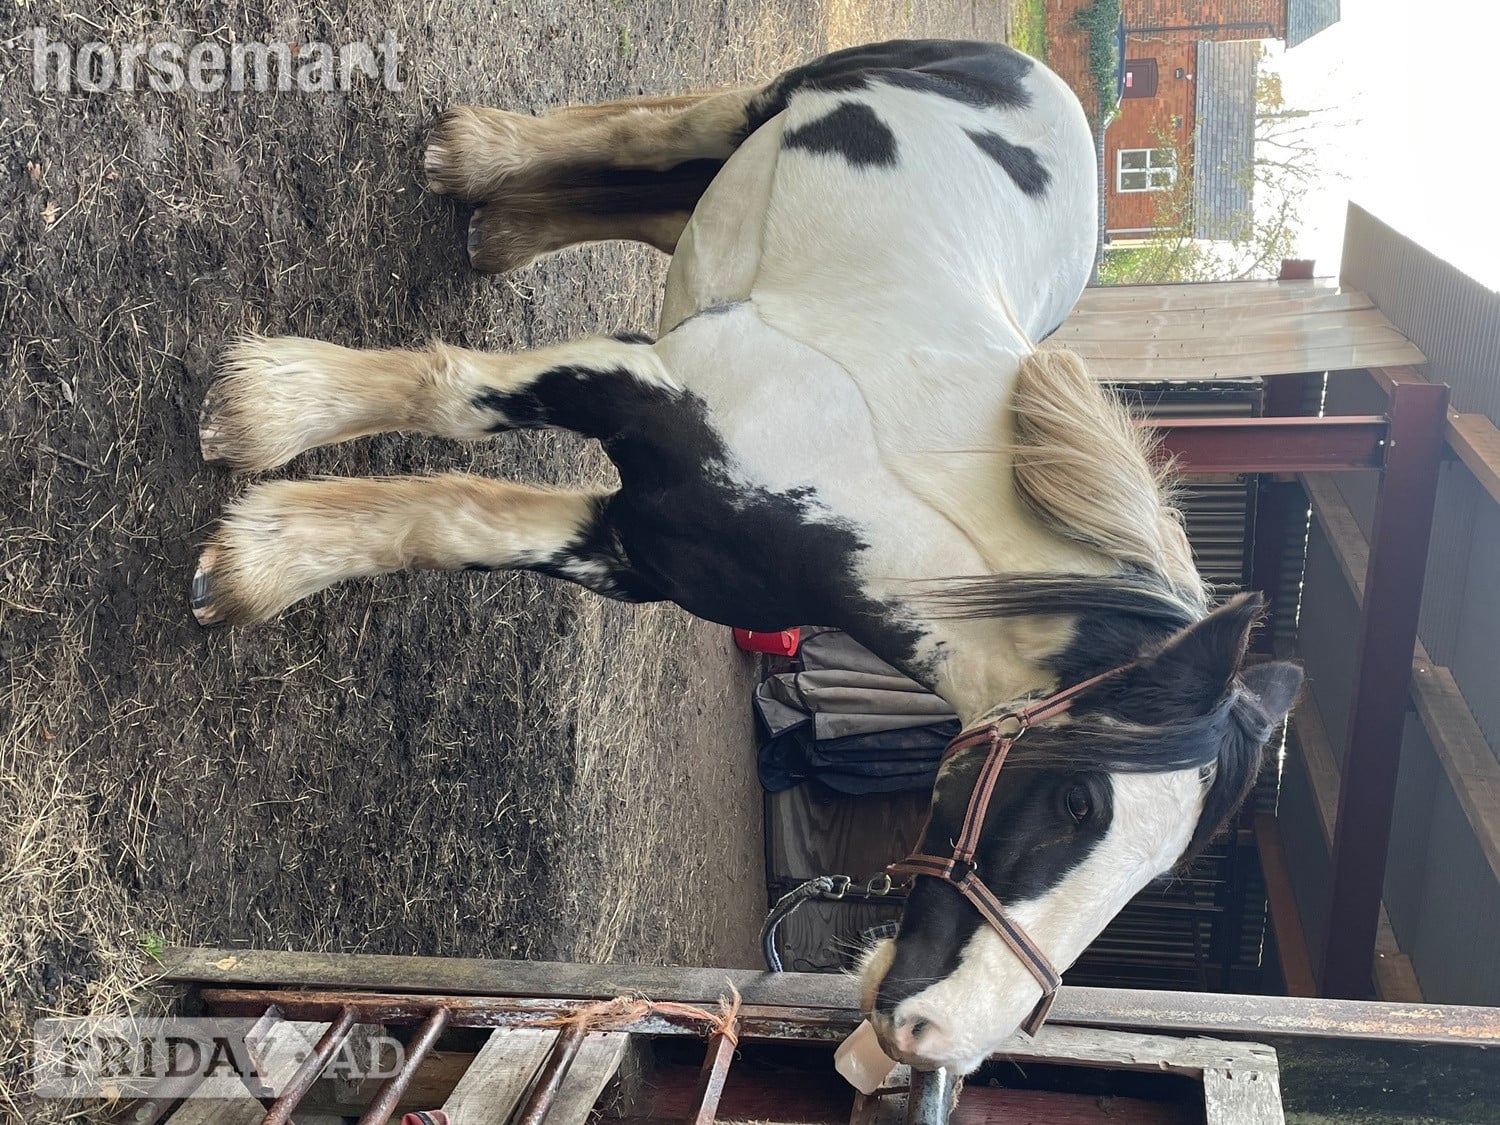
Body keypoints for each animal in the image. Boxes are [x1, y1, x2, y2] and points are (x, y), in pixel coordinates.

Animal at [190, 40, 1303, 1074]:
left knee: (656, 201)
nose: (937, 1039)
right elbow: (457, 401)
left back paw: (494, 226)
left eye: (1159, 876)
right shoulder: (634, 383)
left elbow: (457, 525)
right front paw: (265, 412)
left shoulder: (639, 550)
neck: (868, 482)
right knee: (651, 134)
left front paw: (257, 562)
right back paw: (471, 157)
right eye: (1081, 801)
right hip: (773, 99)